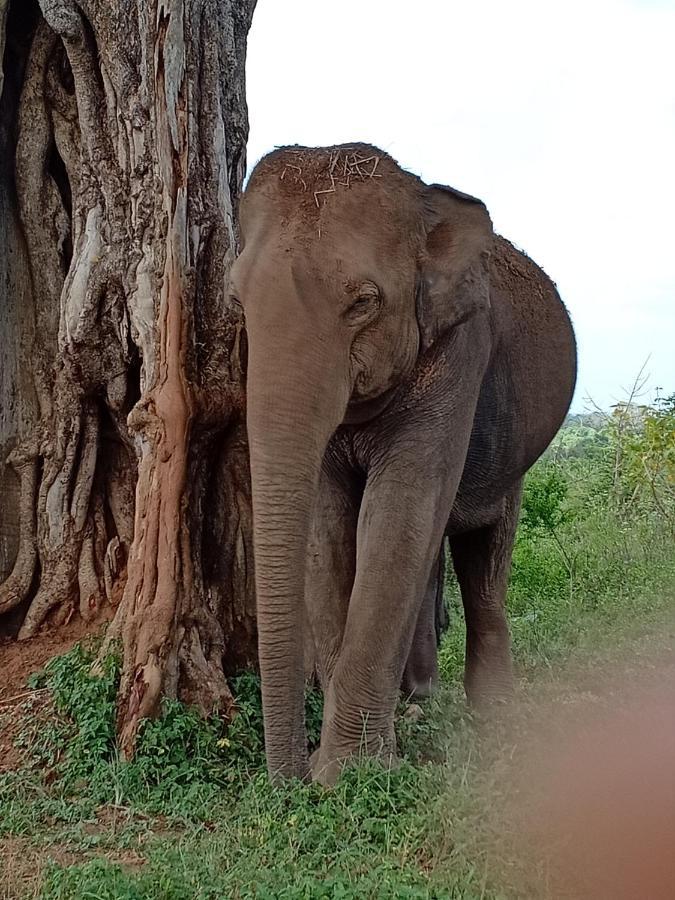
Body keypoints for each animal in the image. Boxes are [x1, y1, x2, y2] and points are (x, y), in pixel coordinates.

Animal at [231, 144, 576, 784]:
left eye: (363, 303)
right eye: (237, 302)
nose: (288, 779)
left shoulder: (461, 349)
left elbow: (399, 512)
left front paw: (346, 775)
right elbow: (329, 525)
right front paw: (340, 765)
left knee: (483, 543)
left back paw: (489, 714)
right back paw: (417, 701)